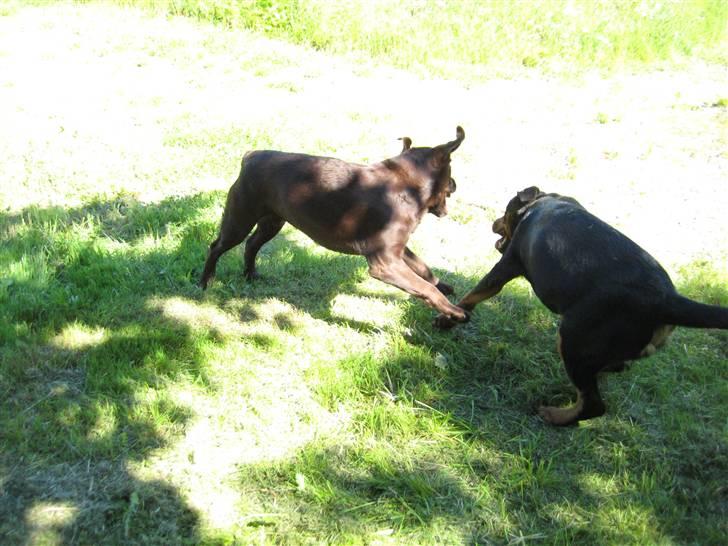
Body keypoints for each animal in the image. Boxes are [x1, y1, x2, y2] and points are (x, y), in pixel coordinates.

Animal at [200, 126, 466, 324]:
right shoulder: (386, 263)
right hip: (239, 220)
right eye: (451, 168)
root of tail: (251, 155)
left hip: (272, 222)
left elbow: (423, 269)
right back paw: (205, 282)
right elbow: (424, 287)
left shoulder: (398, 251)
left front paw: (444, 286)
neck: (406, 188)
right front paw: (455, 311)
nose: (455, 183)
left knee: (252, 245)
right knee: (217, 247)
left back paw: (251, 276)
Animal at [436, 187, 724, 424]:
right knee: (602, 378)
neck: (541, 203)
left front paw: (447, 319)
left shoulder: (507, 264)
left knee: (594, 404)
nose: (494, 221)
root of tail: (667, 299)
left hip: (573, 337)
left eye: (505, 211)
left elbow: (475, 294)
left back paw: (555, 415)